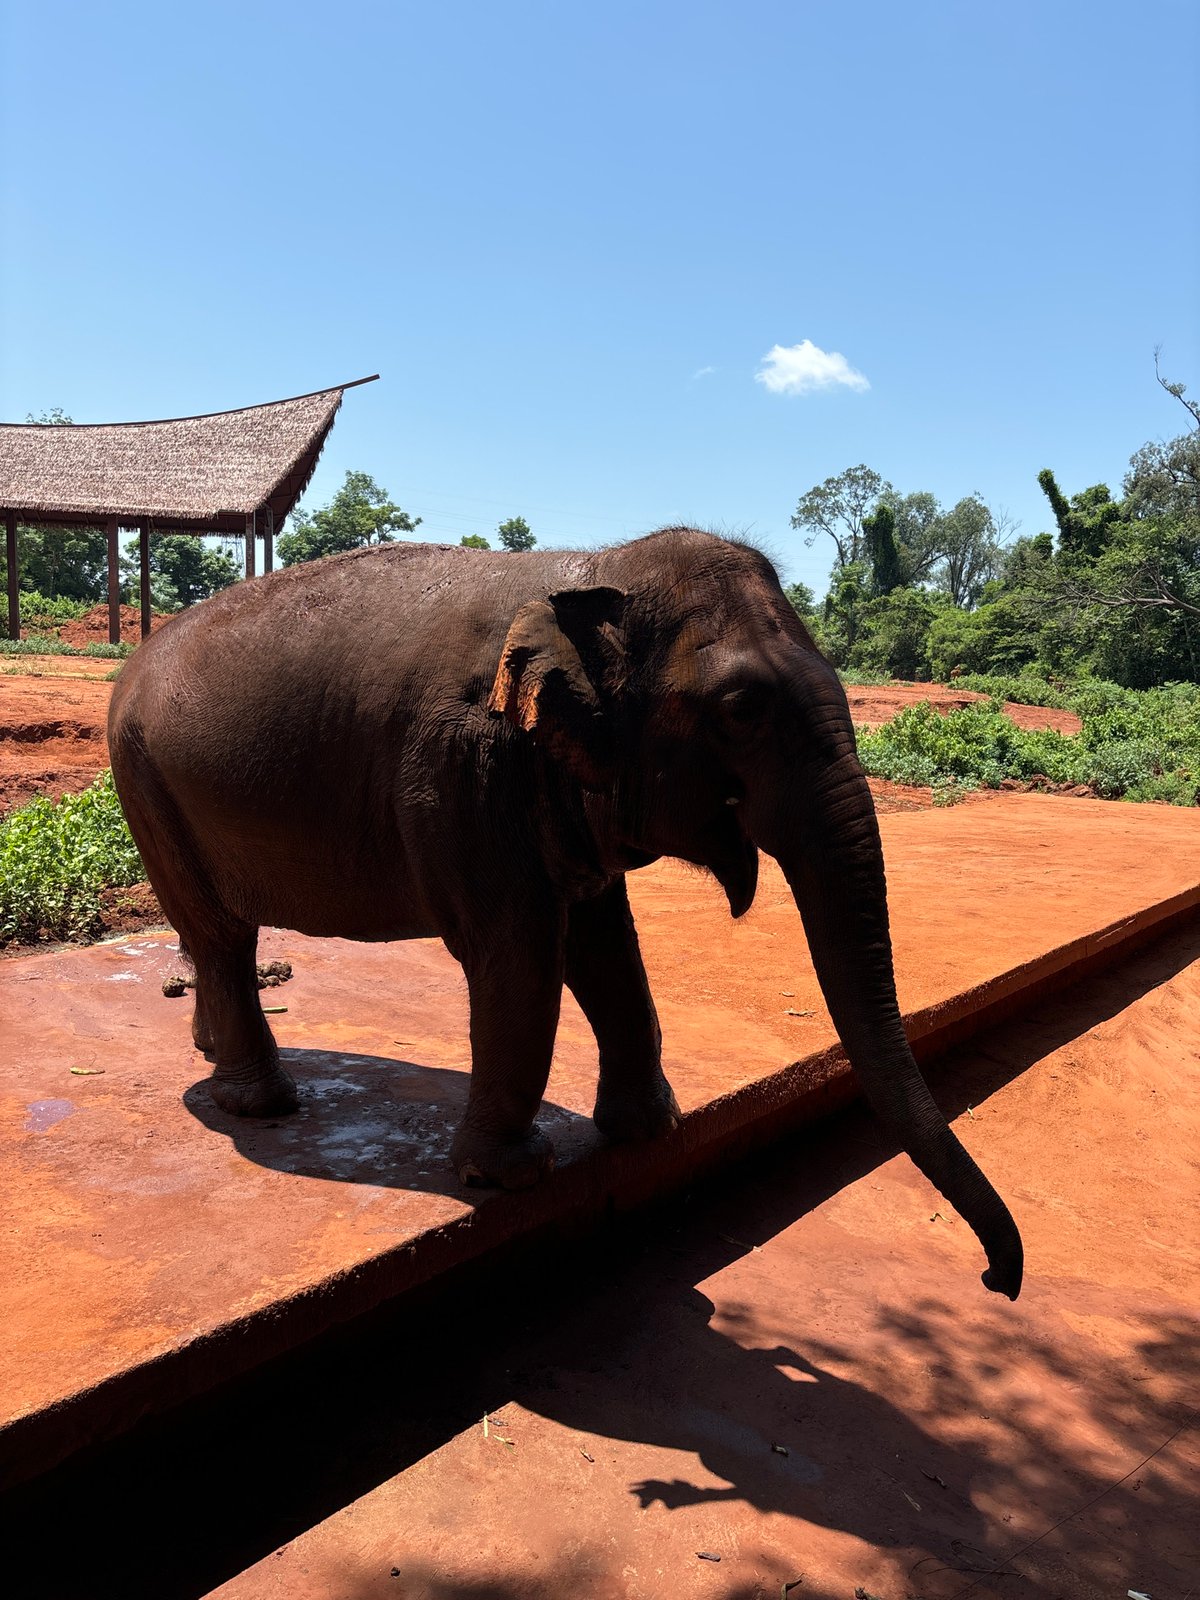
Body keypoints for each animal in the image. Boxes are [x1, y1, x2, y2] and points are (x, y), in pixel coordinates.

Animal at [108, 527, 1023, 1298]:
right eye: (740, 710)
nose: (993, 1280)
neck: (590, 573)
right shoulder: (465, 764)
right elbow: (517, 951)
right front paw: (507, 1176)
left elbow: (604, 941)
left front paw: (649, 1130)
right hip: (142, 773)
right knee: (220, 932)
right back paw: (260, 1105)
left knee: (213, 934)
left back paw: (210, 1052)